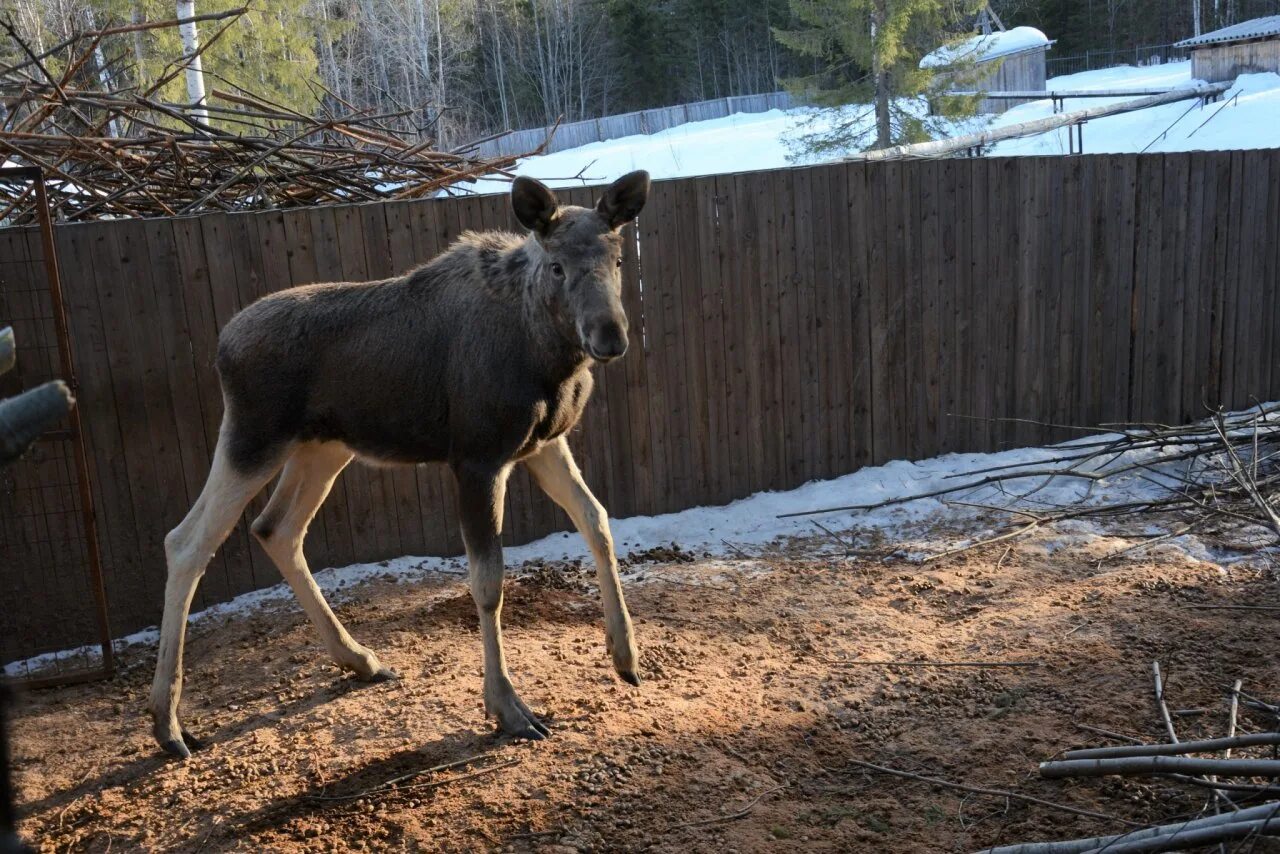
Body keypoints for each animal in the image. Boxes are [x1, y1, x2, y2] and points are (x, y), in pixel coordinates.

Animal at [149, 170, 650, 757]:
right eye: (557, 266)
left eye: (618, 258)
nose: (609, 335)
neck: (551, 360)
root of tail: (220, 348)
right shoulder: (477, 457)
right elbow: (488, 582)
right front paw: (507, 707)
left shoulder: (544, 444)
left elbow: (597, 520)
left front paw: (625, 655)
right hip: (252, 438)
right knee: (186, 542)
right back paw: (167, 722)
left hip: (323, 448)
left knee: (275, 528)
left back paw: (359, 659)